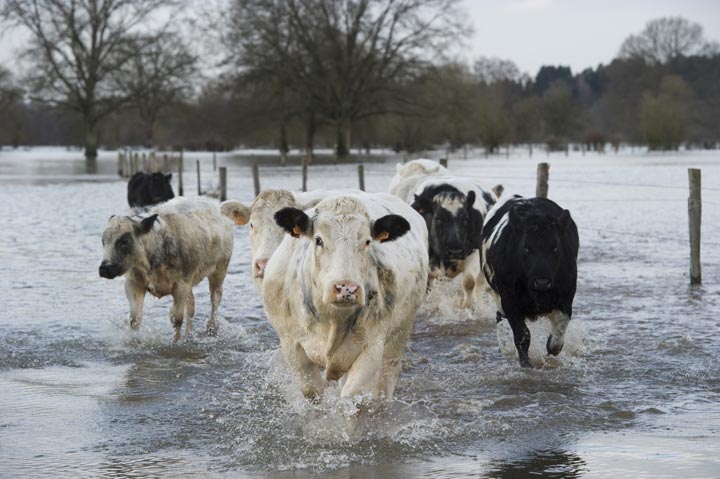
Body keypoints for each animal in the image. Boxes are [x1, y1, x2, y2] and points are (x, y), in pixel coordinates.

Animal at [99, 197, 234, 341]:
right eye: (103, 241)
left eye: (124, 240)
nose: (104, 269)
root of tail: (217, 209)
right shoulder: (133, 284)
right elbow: (135, 319)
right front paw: (134, 340)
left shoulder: (181, 286)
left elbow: (176, 319)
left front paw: (176, 341)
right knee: (191, 306)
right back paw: (188, 334)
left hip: (219, 270)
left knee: (215, 299)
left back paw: (212, 328)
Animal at [261, 192, 429, 402]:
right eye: (318, 240)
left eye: (367, 241)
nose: (346, 288)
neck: (333, 319)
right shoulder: (291, 344)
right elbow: (312, 392)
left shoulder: (372, 348)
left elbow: (348, 397)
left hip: (401, 331)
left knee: (387, 373)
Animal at [481, 196, 579, 367]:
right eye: (526, 248)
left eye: (555, 248)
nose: (542, 281)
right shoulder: (510, 302)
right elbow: (522, 336)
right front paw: (525, 363)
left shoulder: (566, 299)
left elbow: (556, 339)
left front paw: (550, 350)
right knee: (500, 318)